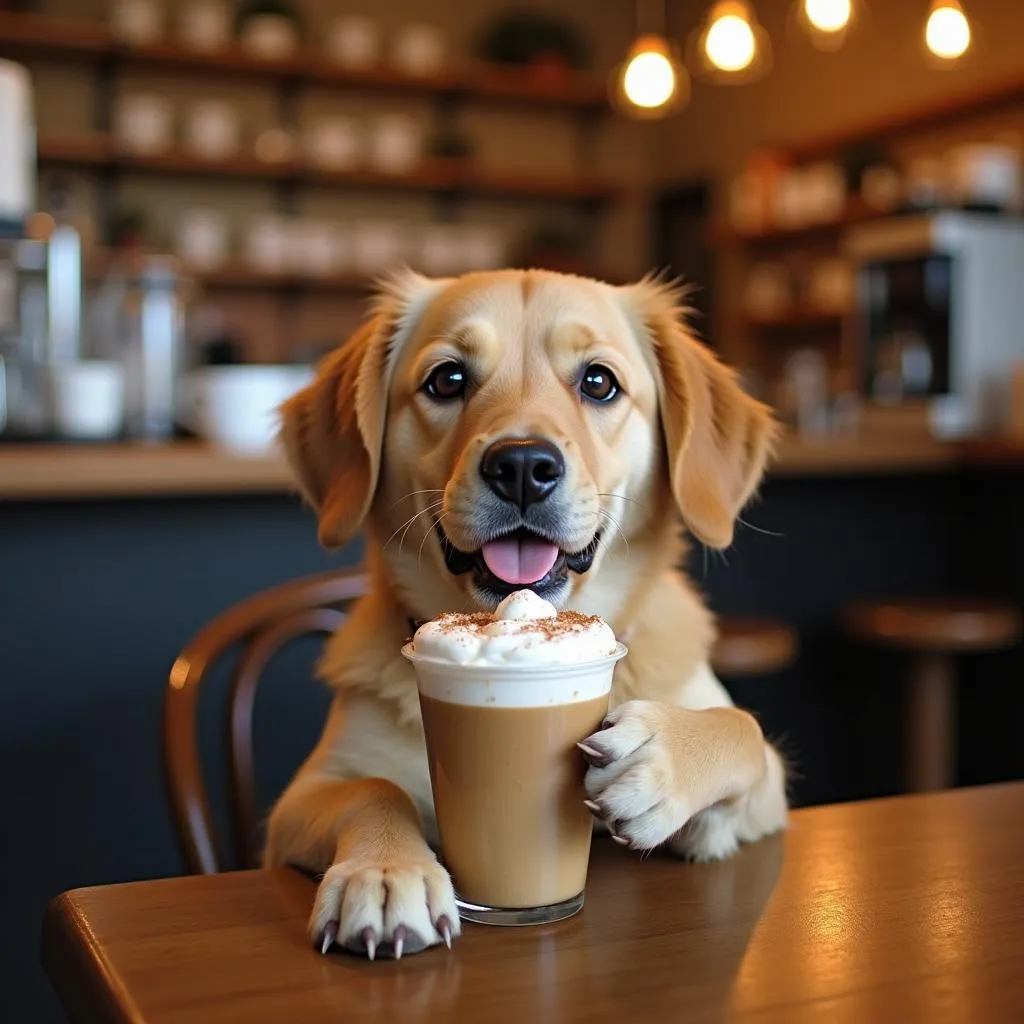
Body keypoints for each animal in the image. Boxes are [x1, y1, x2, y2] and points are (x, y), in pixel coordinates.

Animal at [262, 264, 782, 958]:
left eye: (599, 381)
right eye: (447, 378)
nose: (523, 466)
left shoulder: (770, 786)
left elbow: (742, 728)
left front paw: (666, 758)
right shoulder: (301, 799)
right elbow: (375, 787)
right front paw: (385, 870)